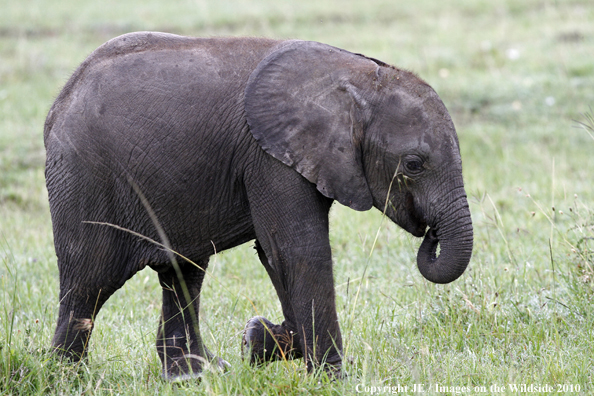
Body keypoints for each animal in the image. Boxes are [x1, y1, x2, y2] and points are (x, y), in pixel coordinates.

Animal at [44, 32, 472, 378]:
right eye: (413, 165)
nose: (430, 233)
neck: (359, 79)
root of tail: (60, 101)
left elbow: (273, 253)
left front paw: (257, 341)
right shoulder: (268, 157)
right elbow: (299, 250)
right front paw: (330, 379)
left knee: (183, 273)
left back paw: (195, 375)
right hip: (86, 179)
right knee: (89, 282)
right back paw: (67, 378)